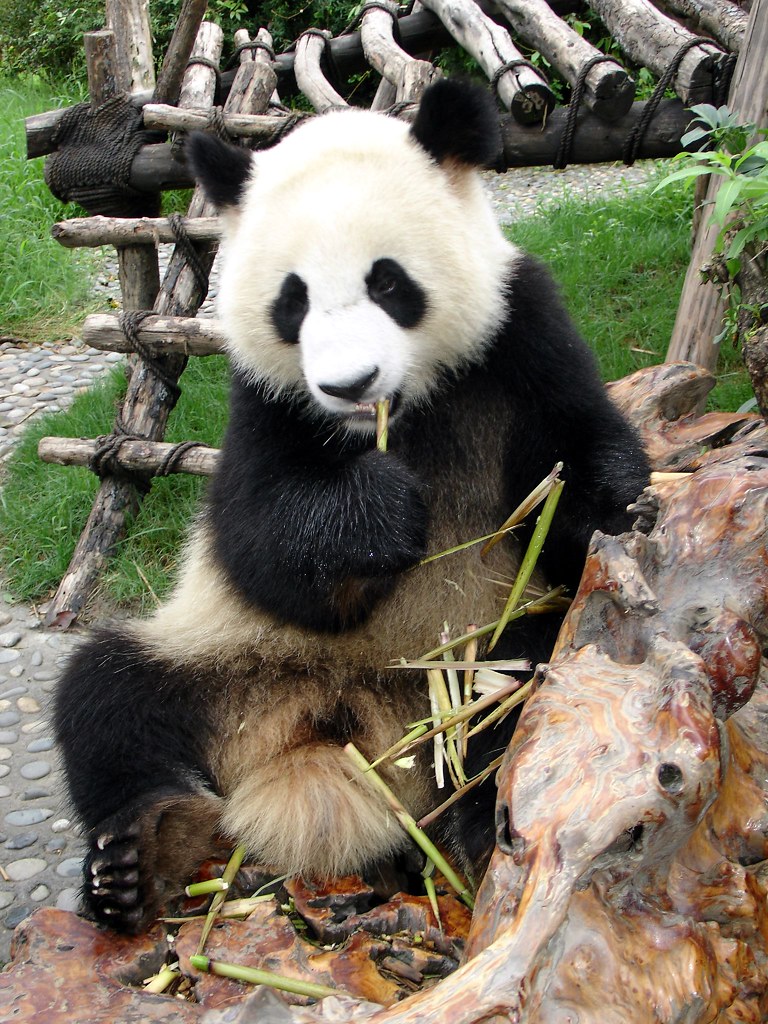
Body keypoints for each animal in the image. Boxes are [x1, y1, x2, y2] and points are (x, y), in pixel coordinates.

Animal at [53, 79, 650, 933]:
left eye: (388, 283)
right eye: (292, 301)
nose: (348, 384)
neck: (402, 414)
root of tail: (333, 731)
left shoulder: (522, 334)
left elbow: (582, 451)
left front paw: (621, 514)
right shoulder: (265, 401)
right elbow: (256, 538)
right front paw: (380, 511)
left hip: (479, 652)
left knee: (522, 688)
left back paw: (480, 824)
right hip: (223, 657)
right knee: (108, 695)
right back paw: (137, 856)